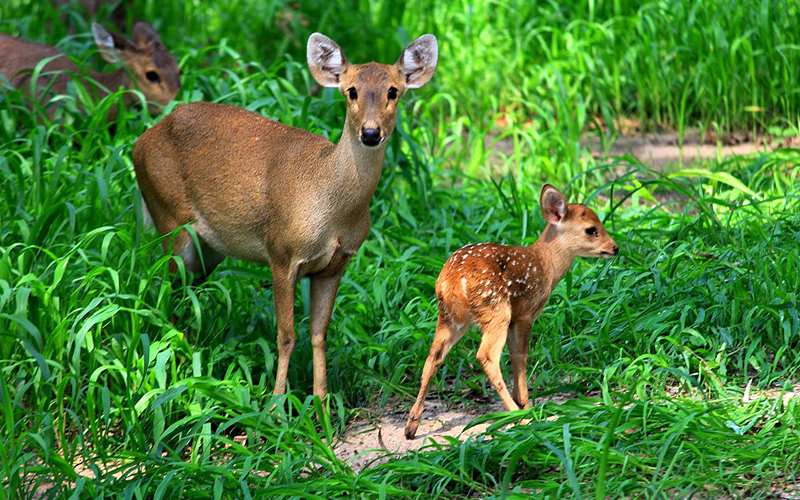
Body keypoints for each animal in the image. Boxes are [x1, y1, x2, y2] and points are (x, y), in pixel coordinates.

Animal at [132, 33, 438, 402]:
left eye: (393, 90)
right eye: (351, 90)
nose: (370, 132)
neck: (331, 210)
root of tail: (139, 142)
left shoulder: (335, 265)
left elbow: (319, 334)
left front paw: (321, 403)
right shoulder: (281, 253)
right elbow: (286, 335)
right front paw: (277, 403)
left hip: (208, 251)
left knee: (181, 291)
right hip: (169, 216)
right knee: (163, 290)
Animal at [404, 184, 619, 439]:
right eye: (591, 229)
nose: (615, 248)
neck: (545, 265)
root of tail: (452, 282)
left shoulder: (515, 317)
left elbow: (515, 356)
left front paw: (521, 400)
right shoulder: (525, 313)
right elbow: (520, 355)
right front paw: (525, 404)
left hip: (451, 318)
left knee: (433, 357)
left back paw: (411, 426)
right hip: (495, 310)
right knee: (486, 356)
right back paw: (518, 417)